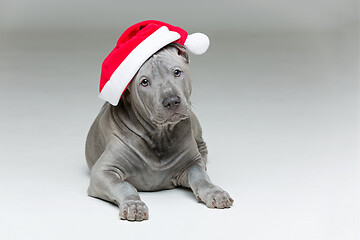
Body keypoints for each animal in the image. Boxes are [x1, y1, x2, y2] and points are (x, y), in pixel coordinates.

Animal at [86, 42, 235, 220]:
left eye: (177, 72)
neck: (160, 135)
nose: (171, 101)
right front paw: (134, 204)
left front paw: (215, 192)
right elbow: (123, 185)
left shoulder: (191, 163)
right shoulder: (103, 171)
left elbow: (200, 176)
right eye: (144, 82)